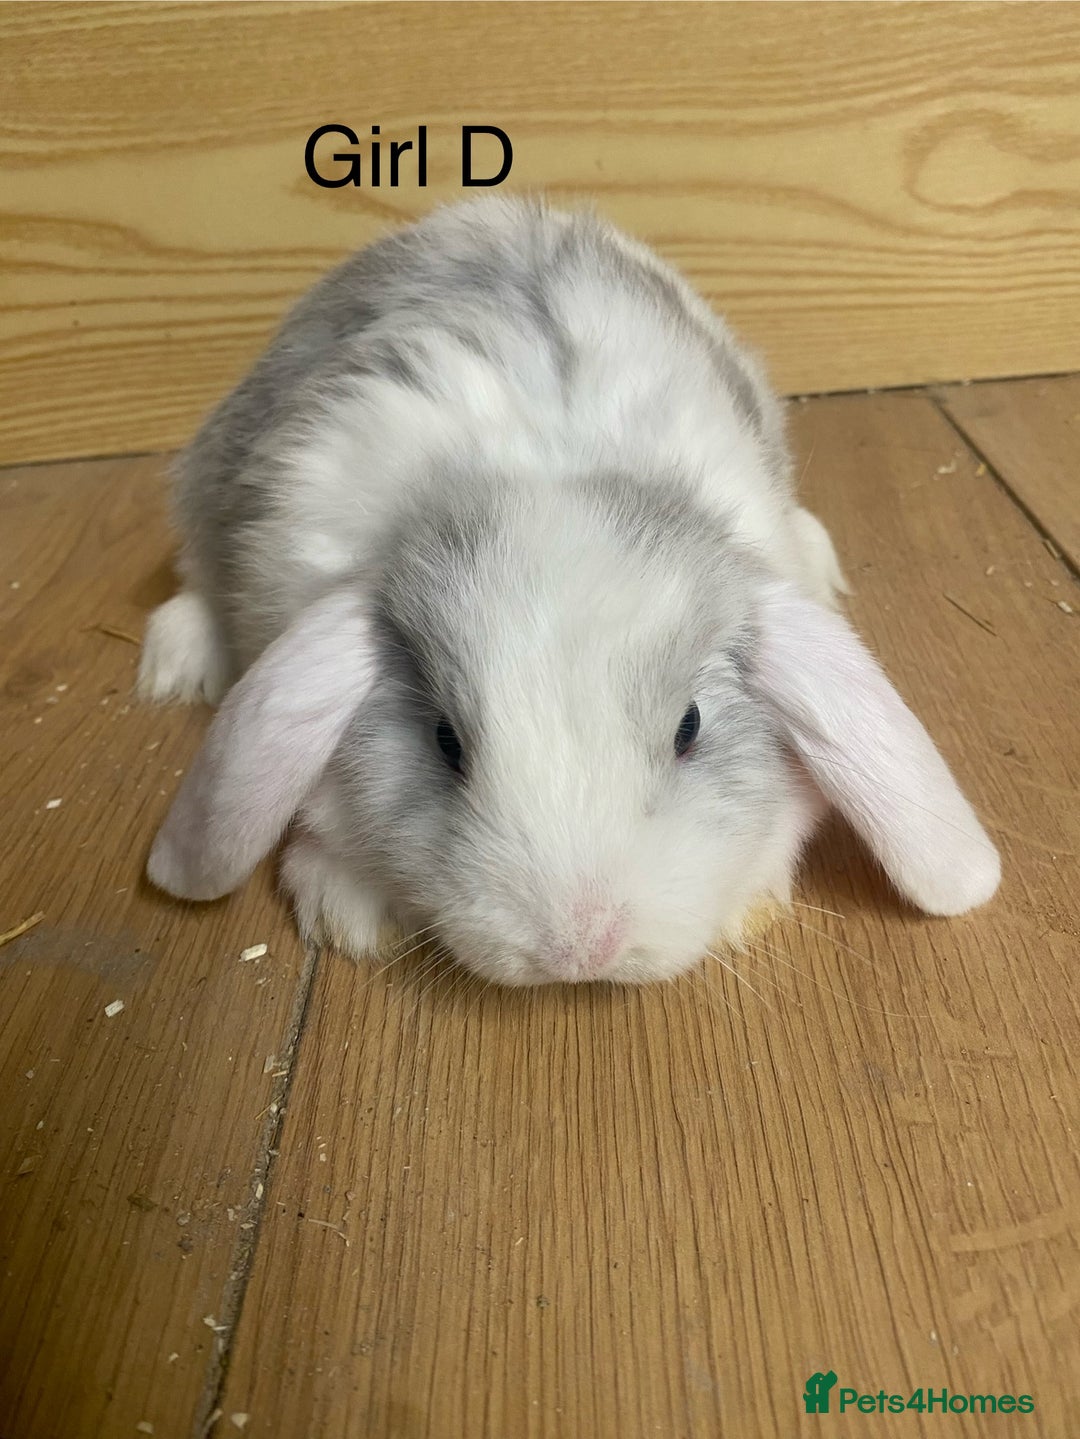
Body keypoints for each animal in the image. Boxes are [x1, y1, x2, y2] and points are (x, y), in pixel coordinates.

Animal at [138, 194, 1000, 985]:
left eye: (689, 727)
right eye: (445, 740)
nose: (581, 949)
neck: (546, 473)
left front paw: (746, 911)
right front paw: (351, 917)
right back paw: (173, 667)